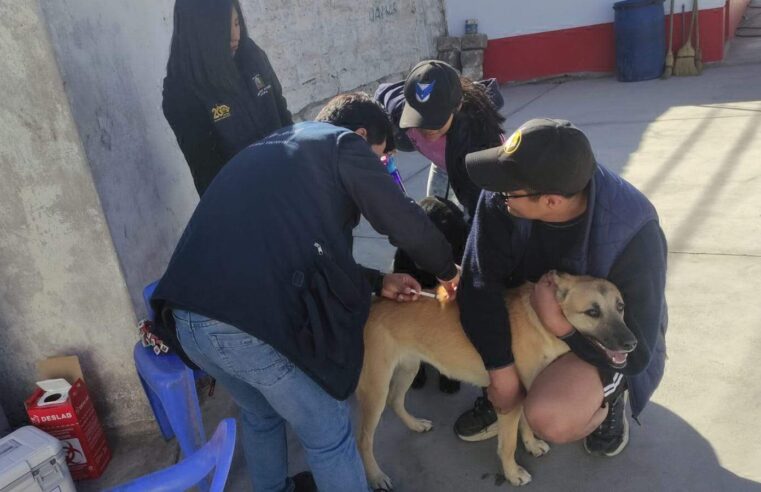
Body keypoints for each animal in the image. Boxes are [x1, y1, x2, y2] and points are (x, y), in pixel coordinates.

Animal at [356, 270, 636, 490]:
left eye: (620, 307)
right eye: (592, 312)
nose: (632, 343)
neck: (540, 321)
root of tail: (371, 303)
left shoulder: (527, 391)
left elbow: (526, 424)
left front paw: (532, 445)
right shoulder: (511, 394)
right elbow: (508, 443)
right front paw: (513, 474)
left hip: (409, 367)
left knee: (395, 401)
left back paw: (415, 425)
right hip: (375, 387)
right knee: (363, 440)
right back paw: (376, 476)